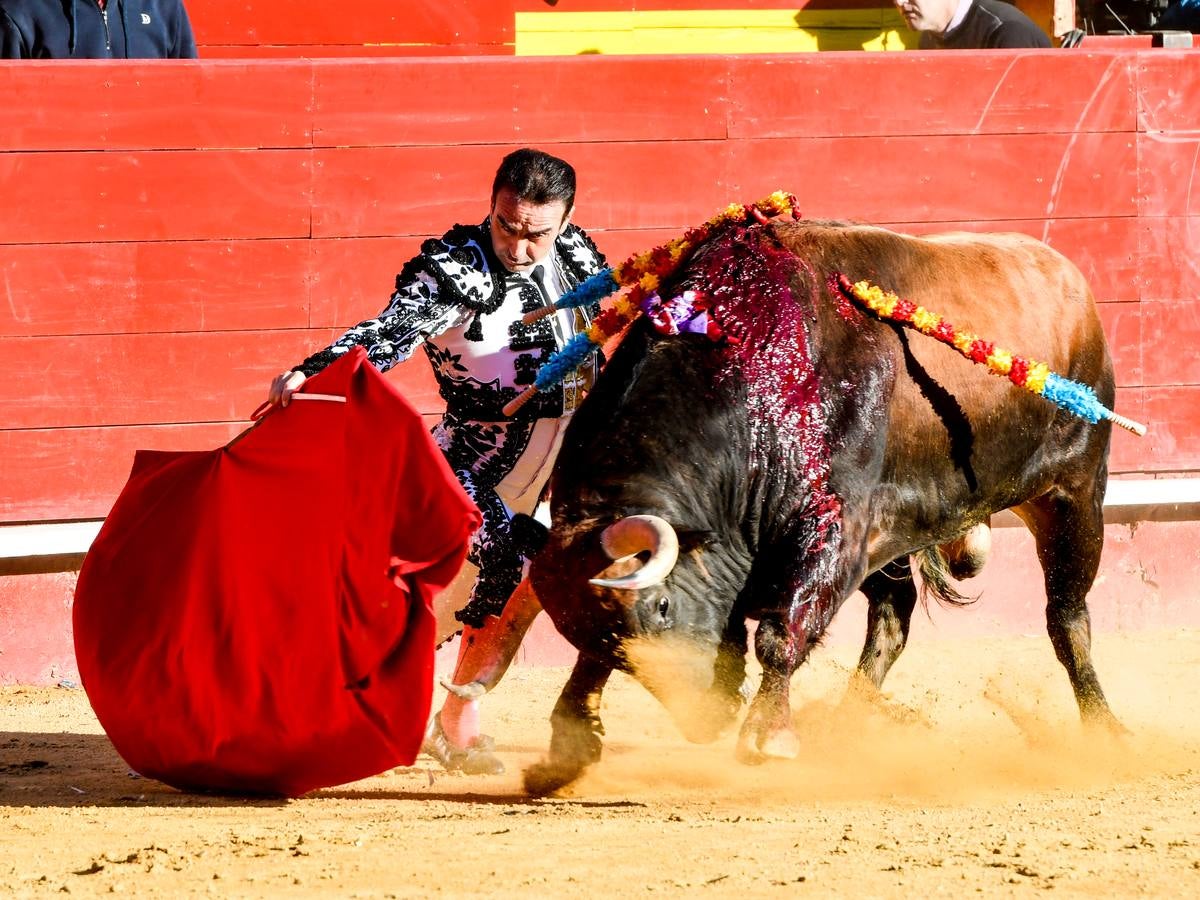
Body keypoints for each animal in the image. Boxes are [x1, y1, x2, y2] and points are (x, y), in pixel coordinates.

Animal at [528, 218, 1123, 796]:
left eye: (663, 607)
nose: (706, 719)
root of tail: (1068, 277)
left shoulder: (834, 529)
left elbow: (779, 631)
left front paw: (768, 736)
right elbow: (592, 661)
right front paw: (566, 751)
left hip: (1074, 494)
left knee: (1066, 617)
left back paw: (1106, 732)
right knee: (894, 618)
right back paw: (846, 727)